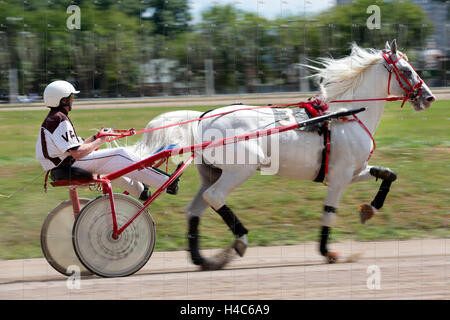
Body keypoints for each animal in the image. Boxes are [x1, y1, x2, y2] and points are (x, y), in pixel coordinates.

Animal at [132, 40, 434, 268]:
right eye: (406, 70)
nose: (429, 97)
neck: (345, 115)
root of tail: (204, 118)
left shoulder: (353, 171)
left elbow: (389, 174)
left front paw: (370, 208)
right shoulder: (340, 176)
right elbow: (329, 212)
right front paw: (327, 251)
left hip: (212, 172)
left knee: (195, 208)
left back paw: (203, 259)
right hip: (240, 169)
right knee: (214, 197)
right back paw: (240, 239)